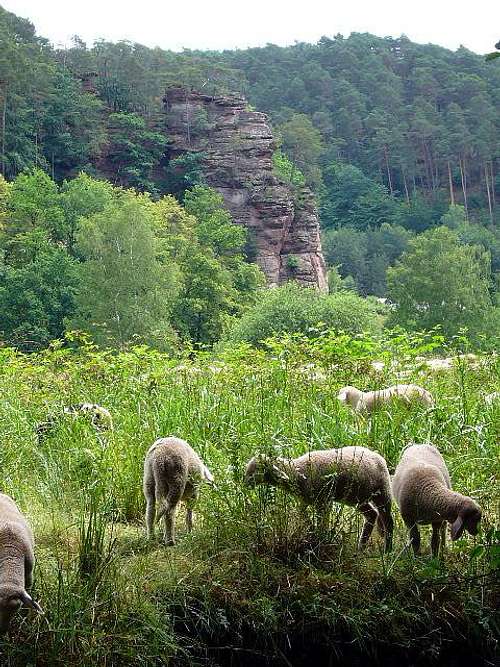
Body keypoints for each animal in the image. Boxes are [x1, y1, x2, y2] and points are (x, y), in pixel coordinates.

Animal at [244, 448, 392, 552]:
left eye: (259, 469)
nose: (245, 483)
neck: (296, 472)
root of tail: (379, 457)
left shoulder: (324, 501)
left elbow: (322, 522)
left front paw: (320, 539)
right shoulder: (304, 501)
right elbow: (304, 517)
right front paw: (311, 533)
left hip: (383, 491)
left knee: (388, 520)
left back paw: (388, 550)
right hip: (357, 497)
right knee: (372, 515)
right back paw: (361, 547)